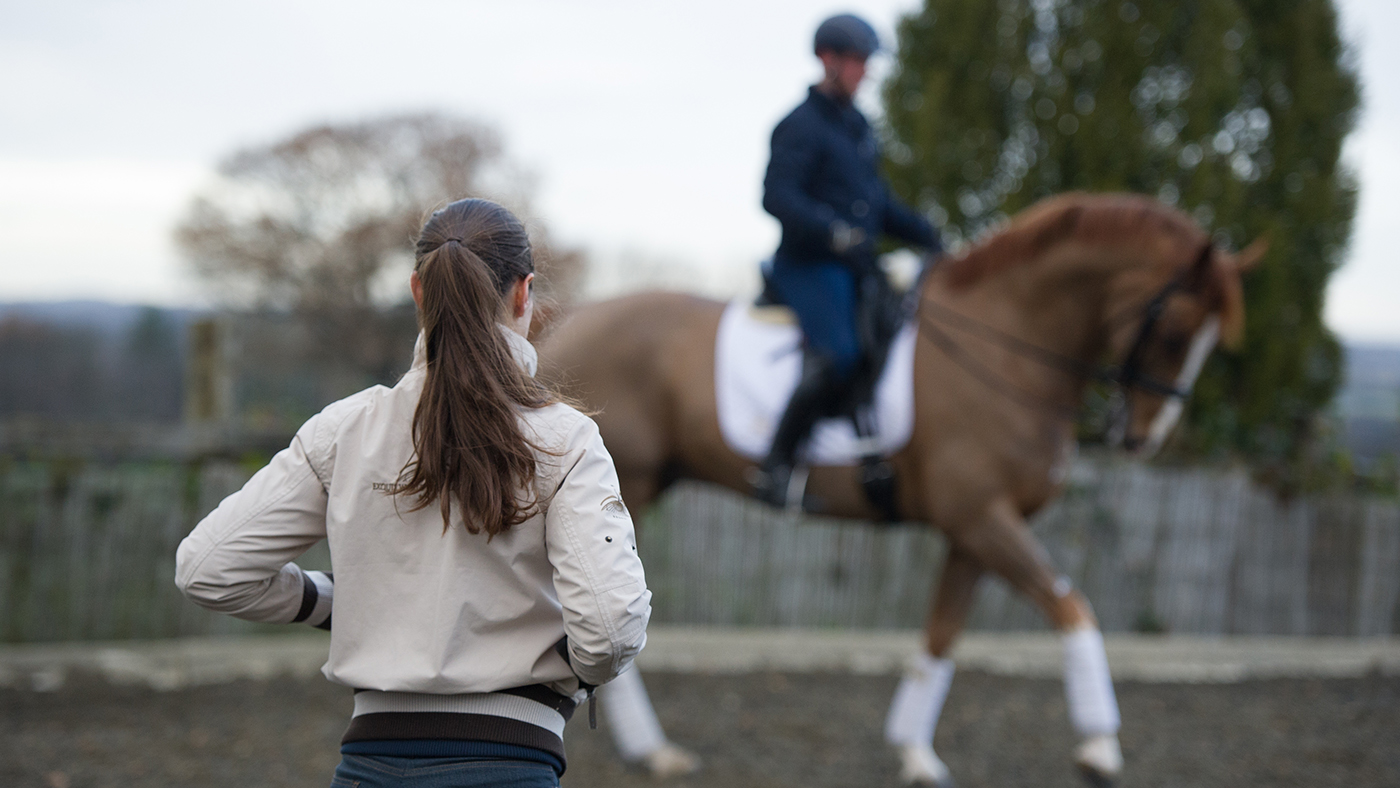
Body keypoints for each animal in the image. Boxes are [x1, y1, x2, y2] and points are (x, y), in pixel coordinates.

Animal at [537, 192, 1263, 786]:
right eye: (1175, 332)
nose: (1144, 436)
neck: (1005, 344)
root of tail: (564, 325)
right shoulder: (982, 519)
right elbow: (1073, 608)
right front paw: (1100, 750)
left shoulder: (974, 533)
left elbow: (942, 637)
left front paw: (915, 754)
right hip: (620, 492)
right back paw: (648, 749)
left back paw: (648, 750)